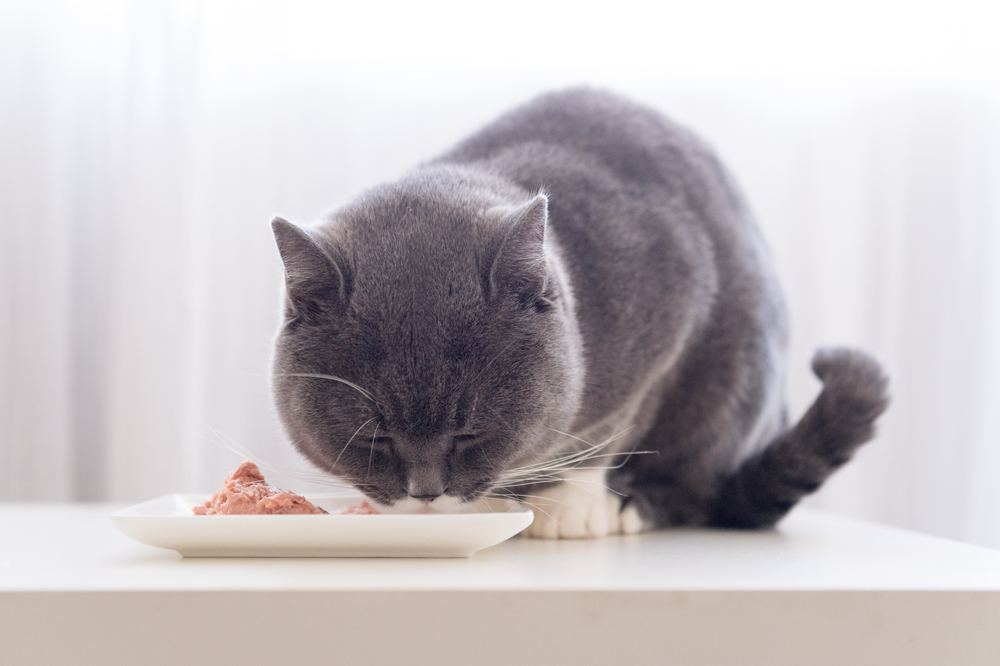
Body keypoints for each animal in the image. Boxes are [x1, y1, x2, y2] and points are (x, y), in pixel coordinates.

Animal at [270, 87, 888, 536]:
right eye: (374, 439)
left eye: (469, 433)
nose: (425, 495)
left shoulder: (668, 312)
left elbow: (614, 427)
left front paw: (570, 504)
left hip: (735, 381)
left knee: (694, 486)